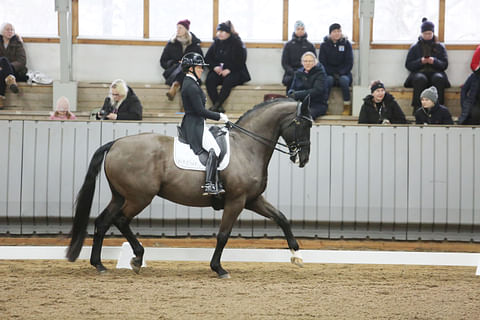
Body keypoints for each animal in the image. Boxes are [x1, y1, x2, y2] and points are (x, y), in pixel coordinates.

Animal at [65, 97, 314, 278]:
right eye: (302, 124)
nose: (303, 159)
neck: (247, 147)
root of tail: (115, 144)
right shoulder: (236, 200)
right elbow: (223, 235)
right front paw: (218, 268)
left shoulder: (252, 199)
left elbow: (281, 218)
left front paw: (297, 255)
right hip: (139, 197)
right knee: (120, 220)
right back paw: (136, 258)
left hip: (120, 196)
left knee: (102, 222)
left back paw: (99, 265)